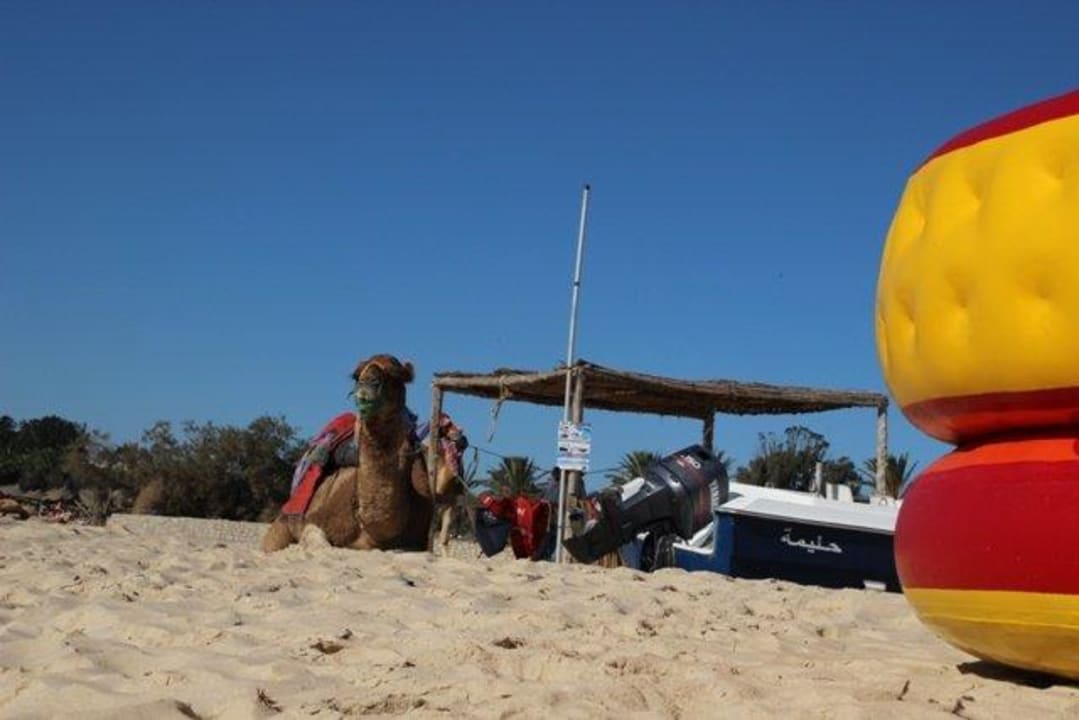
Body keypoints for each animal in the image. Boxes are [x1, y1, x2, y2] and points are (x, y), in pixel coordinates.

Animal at [261, 354, 463, 553]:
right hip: (285, 518)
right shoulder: (313, 519)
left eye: (395, 374)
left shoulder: (419, 541)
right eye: (356, 375)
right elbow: (318, 540)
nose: (367, 383)